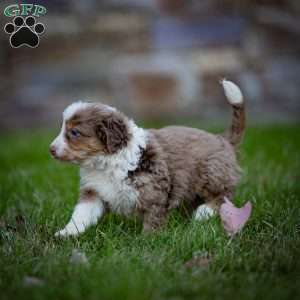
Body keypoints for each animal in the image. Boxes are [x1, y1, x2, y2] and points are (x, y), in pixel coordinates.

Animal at [50, 79, 245, 237]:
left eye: (74, 132)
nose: (50, 149)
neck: (104, 163)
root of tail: (221, 138)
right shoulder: (94, 190)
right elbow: (81, 213)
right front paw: (67, 232)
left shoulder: (154, 191)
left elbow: (153, 217)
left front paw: (149, 239)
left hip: (212, 175)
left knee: (224, 196)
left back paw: (203, 212)